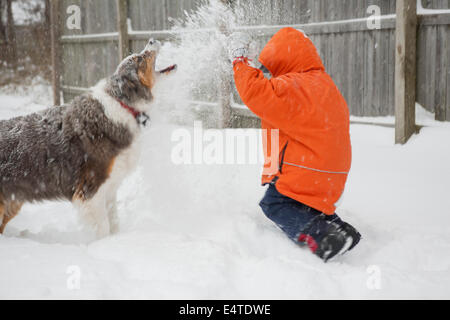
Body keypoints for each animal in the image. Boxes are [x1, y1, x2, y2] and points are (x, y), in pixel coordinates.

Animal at [0, 38, 176, 238]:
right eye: (139, 59)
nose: (152, 40)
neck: (122, 104)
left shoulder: (109, 187)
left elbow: (114, 222)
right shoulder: (90, 189)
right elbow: (103, 227)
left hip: (13, 201)